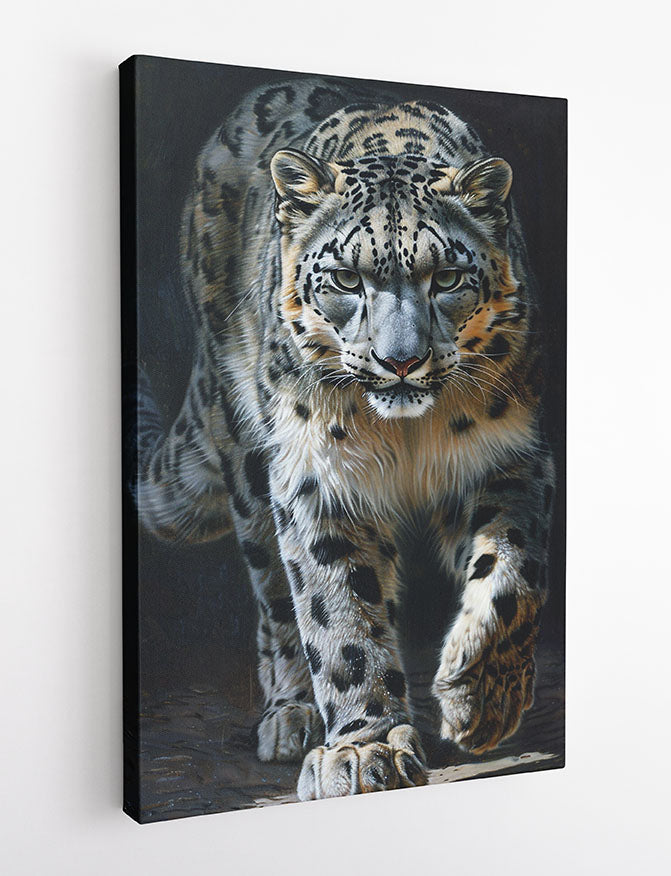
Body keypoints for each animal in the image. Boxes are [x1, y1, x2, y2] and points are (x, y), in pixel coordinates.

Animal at [132, 76, 555, 801]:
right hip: (249, 459)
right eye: (346, 278)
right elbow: (339, 613)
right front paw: (365, 750)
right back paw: (291, 714)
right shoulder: (319, 477)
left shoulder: (508, 455)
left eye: (446, 277)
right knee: (276, 597)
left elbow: (513, 572)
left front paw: (480, 699)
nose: (400, 361)